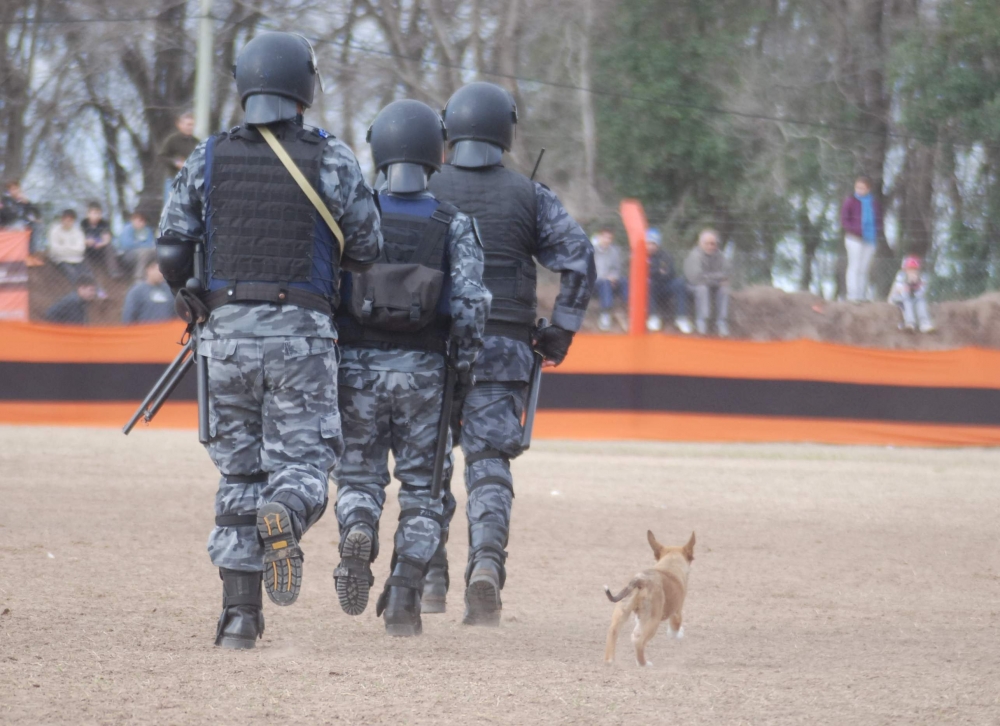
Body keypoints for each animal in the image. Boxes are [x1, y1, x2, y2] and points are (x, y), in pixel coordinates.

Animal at [600, 532, 696, 668]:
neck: (670, 565)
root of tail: (641, 581)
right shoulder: (676, 613)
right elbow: (674, 630)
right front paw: (679, 634)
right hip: (653, 621)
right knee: (639, 642)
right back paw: (644, 664)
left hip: (622, 612)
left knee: (613, 632)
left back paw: (609, 661)